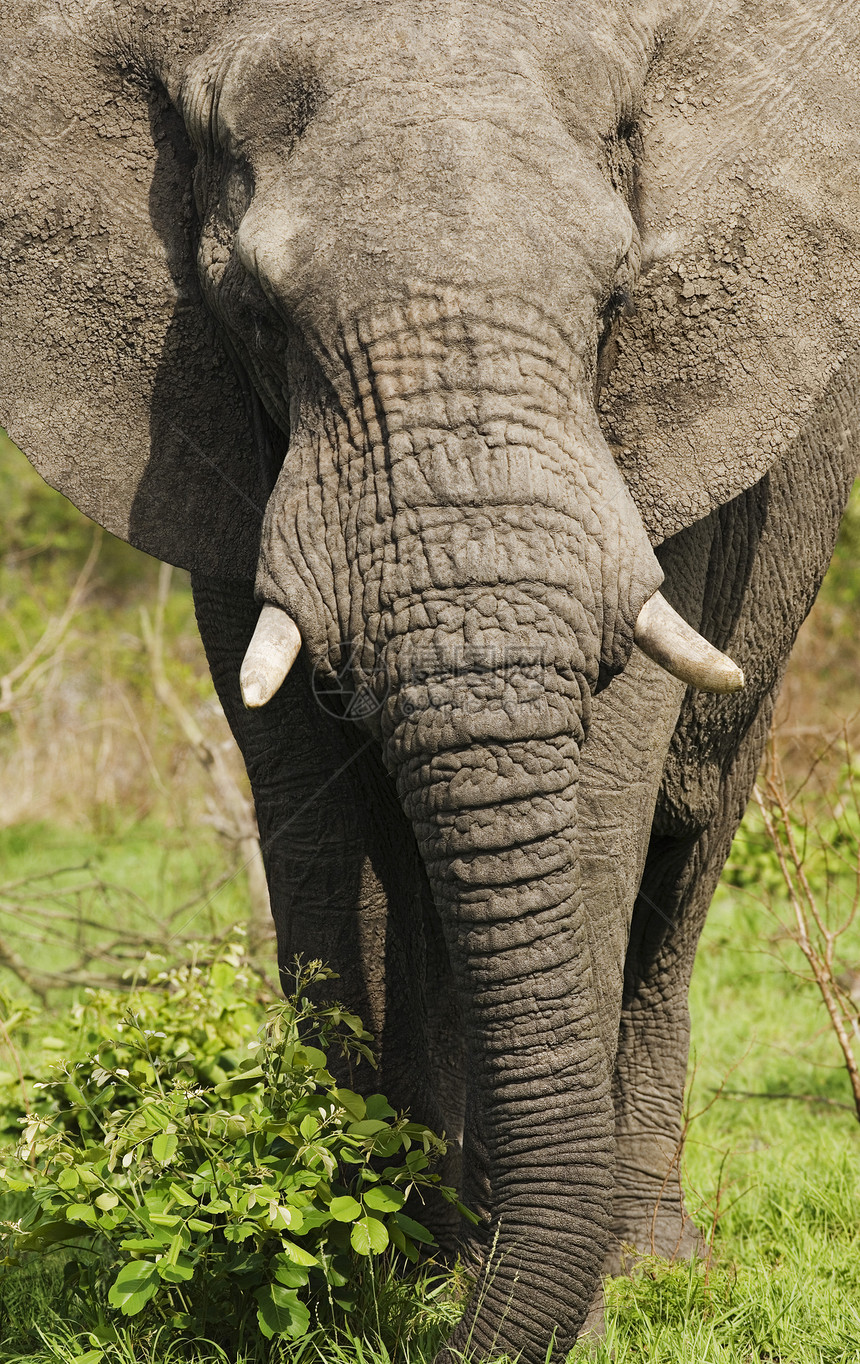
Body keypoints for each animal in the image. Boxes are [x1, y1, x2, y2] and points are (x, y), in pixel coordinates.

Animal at [1, 2, 860, 1364]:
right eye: (255, 313)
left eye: (615, 302)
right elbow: (310, 803)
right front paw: (352, 1264)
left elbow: (601, 801)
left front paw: (546, 1299)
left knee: (688, 830)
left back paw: (647, 1253)